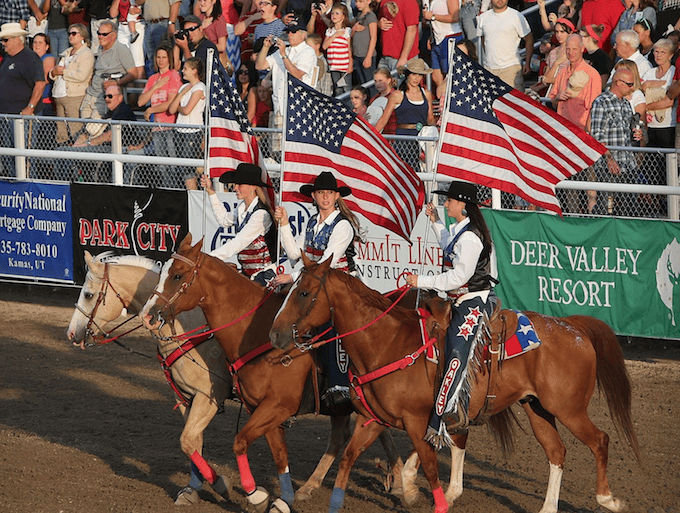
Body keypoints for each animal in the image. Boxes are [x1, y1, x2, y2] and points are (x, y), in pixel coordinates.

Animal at [67, 251, 231, 504]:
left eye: (88, 294)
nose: (71, 333)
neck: (188, 328)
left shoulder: (208, 399)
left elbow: (189, 440)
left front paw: (222, 485)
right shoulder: (185, 398)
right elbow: (192, 443)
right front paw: (192, 489)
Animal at [139, 235, 404, 512]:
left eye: (178, 275)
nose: (148, 316)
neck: (257, 334)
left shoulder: (272, 406)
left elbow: (236, 442)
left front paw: (254, 495)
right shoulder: (255, 407)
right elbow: (275, 455)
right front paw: (282, 499)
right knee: (348, 435)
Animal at [270, 255, 644, 512]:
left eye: (304, 293)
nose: (275, 334)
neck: (387, 342)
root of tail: (572, 327)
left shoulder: (416, 419)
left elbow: (429, 461)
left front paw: (423, 494)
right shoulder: (374, 419)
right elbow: (348, 456)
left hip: (568, 408)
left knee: (600, 440)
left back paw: (608, 499)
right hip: (537, 408)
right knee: (557, 451)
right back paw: (548, 507)